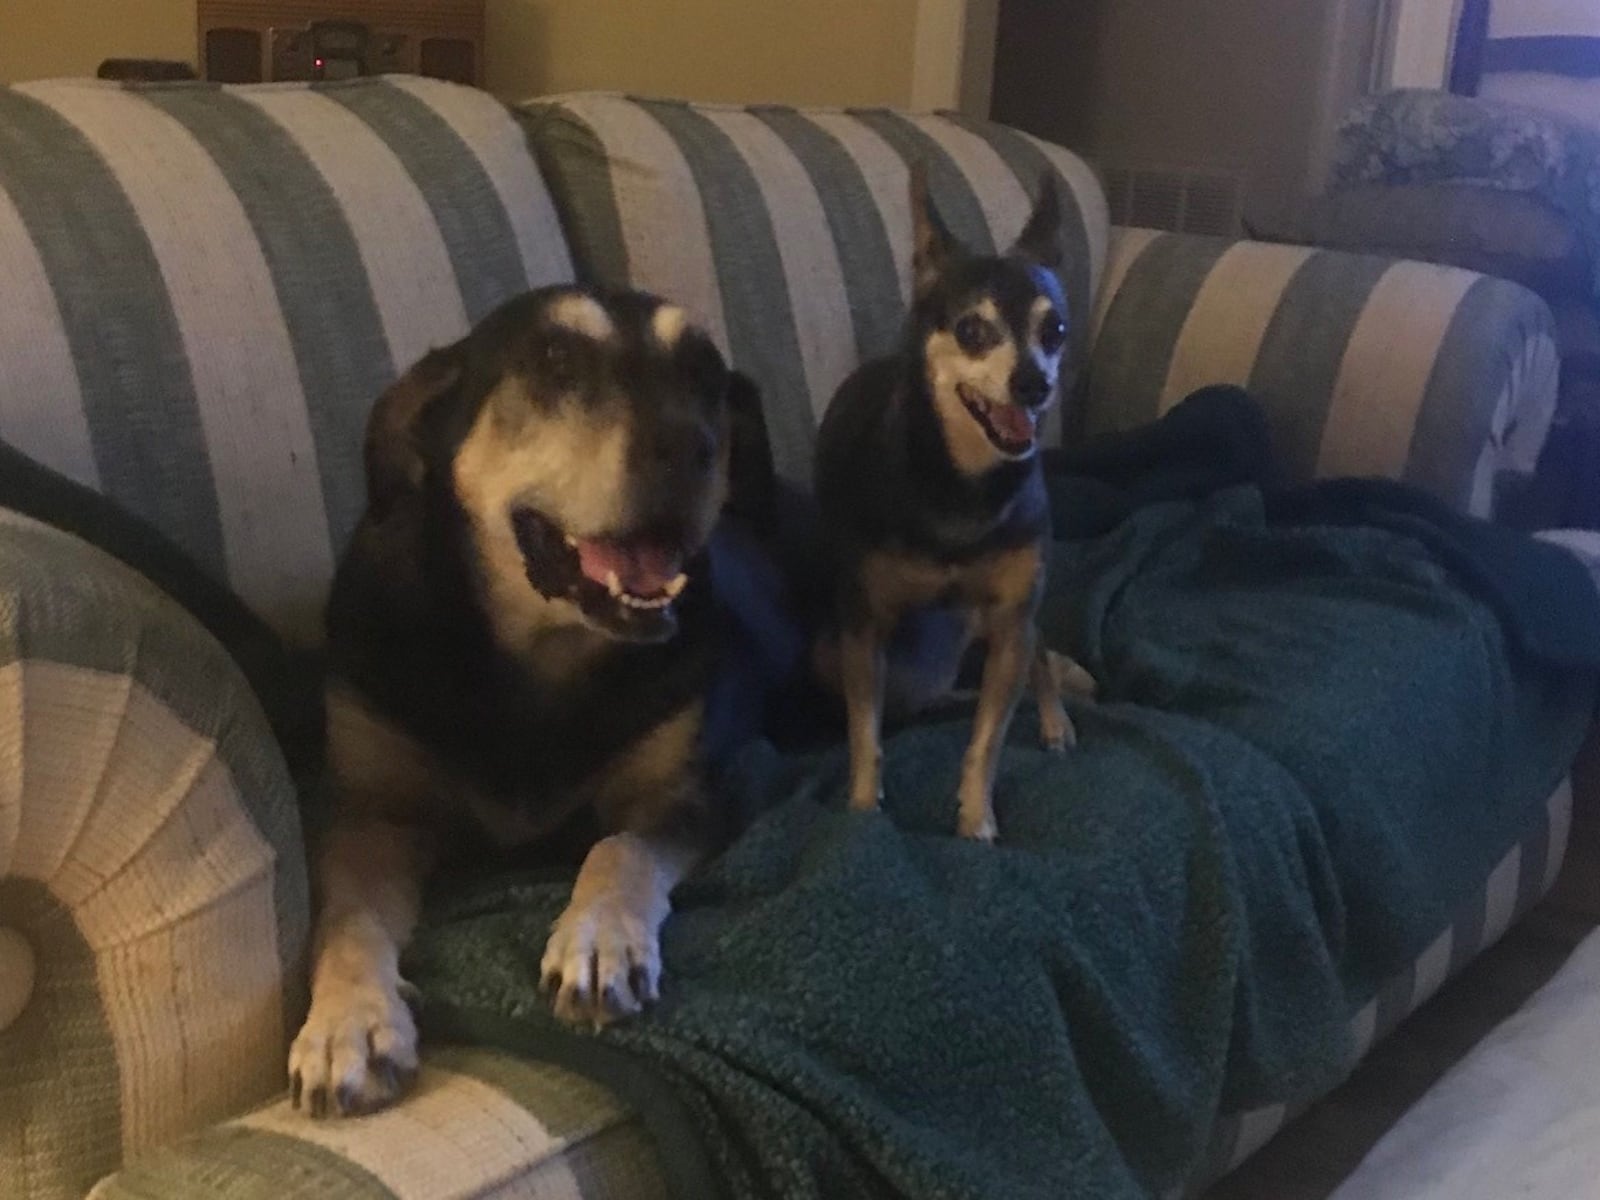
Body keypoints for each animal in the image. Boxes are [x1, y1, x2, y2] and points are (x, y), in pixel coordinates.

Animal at [286, 286, 774, 1126]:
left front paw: (599, 940)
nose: (692, 446)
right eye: (555, 360)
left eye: (706, 374)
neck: (538, 656)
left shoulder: (681, 795)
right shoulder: (372, 815)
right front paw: (348, 1024)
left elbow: (620, 848)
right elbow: (346, 918)